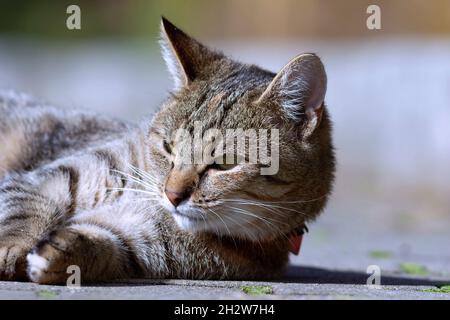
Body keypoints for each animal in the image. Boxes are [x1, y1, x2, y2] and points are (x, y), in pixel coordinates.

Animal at [0, 17, 334, 284]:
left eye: (225, 164)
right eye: (168, 147)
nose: (172, 195)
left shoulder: (142, 243)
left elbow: (104, 246)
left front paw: (65, 252)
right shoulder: (51, 178)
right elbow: (23, 210)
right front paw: (11, 249)